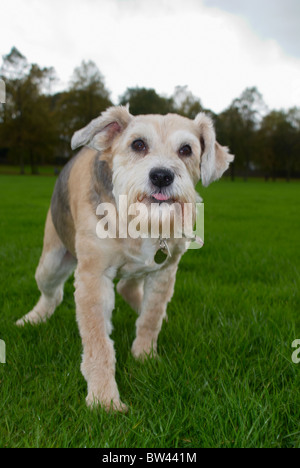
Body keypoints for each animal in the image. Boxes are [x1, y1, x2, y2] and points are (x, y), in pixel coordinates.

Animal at [16, 105, 234, 410]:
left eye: (186, 149)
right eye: (138, 144)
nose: (162, 176)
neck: (138, 221)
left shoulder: (164, 271)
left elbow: (150, 318)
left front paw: (145, 356)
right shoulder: (93, 278)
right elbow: (98, 343)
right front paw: (104, 400)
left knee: (128, 288)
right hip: (50, 264)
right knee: (53, 294)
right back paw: (32, 320)